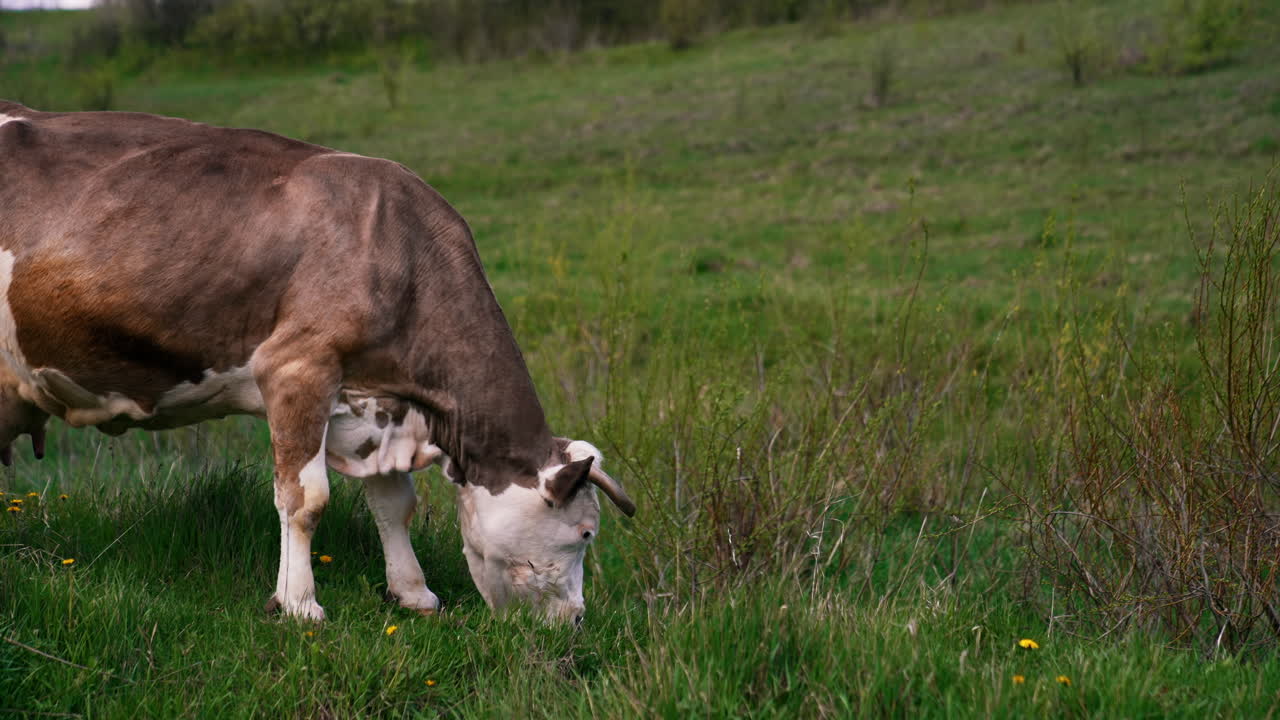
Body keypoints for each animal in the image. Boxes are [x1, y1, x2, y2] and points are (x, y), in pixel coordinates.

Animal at [0, 101, 636, 624]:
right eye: (585, 533)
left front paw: (413, 593)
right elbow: (305, 499)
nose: (577, 621)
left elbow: (395, 503)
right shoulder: (297, 369)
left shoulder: (380, 401)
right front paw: (300, 604)